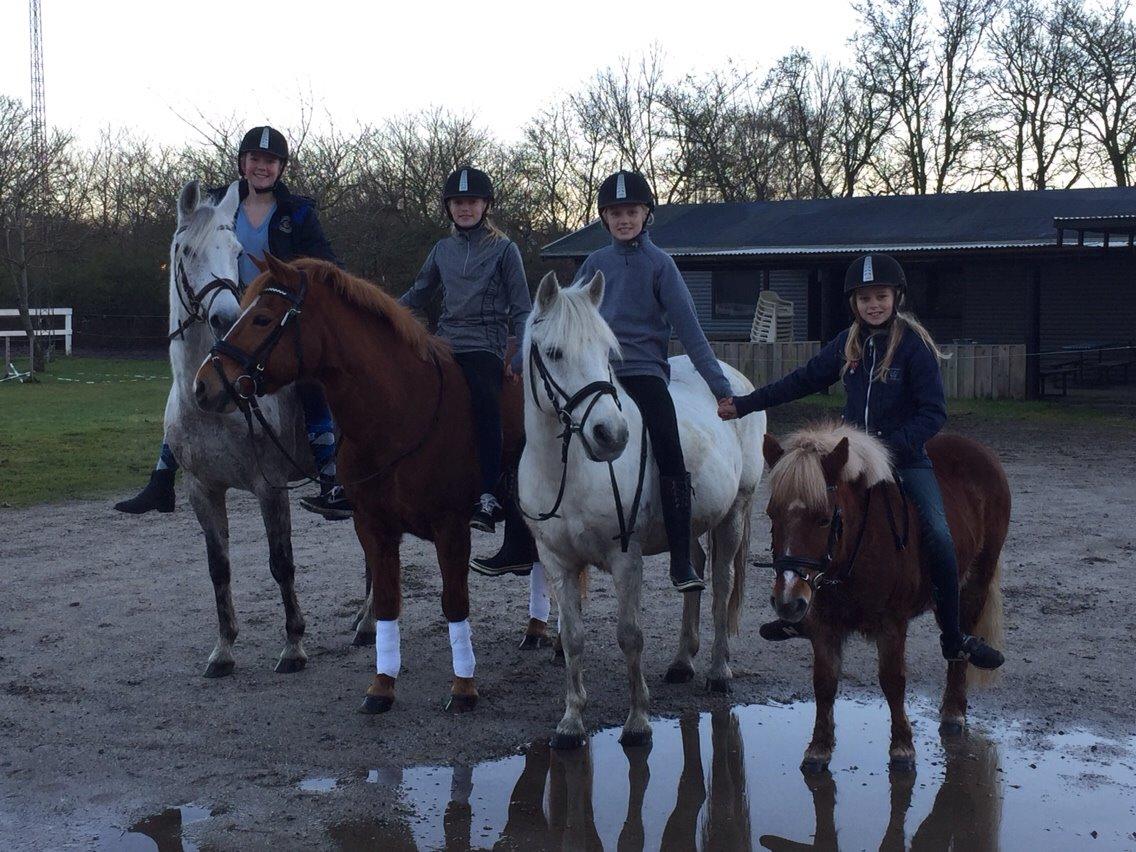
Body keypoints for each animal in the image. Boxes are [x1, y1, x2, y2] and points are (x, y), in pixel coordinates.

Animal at [165, 181, 368, 681]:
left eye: (237, 251)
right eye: (189, 251)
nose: (223, 316)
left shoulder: (269, 487)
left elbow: (282, 563)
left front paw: (293, 645)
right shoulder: (202, 489)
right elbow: (219, 567)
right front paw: (223, 650)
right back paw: (366, 622)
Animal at [194, 252, 522, 713]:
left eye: (261, 318)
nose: (203, 385)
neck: (401, 410)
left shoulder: (451, 528)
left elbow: (454, 602)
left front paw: (463, 688)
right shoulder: (373, 524)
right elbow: (386, 600)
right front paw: (382, 685)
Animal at [520, 273, 767, 745]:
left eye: (606, 352)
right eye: (555, 352)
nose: (610, 435)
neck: (570, 470)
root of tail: (735, 384)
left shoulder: (625, 558)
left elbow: (630, 635)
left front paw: (637, 720)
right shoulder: (557, 561)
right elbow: (572, 638)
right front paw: (571, 721)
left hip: (734, 513)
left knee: (722, 586)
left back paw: (717, 671)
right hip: (689, 525)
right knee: (695, 570)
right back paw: (682, 662)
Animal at [758, 427, 1008, 772]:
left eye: (823, 518)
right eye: (772, 514)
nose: (788, 601)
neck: (856, 548)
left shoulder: (892, 624)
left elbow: (892, 680)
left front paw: (902, 746)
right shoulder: (823, 626)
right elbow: (824, 682)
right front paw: (819, 747)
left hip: (976, 580)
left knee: (962, 639)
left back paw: (953, 711)